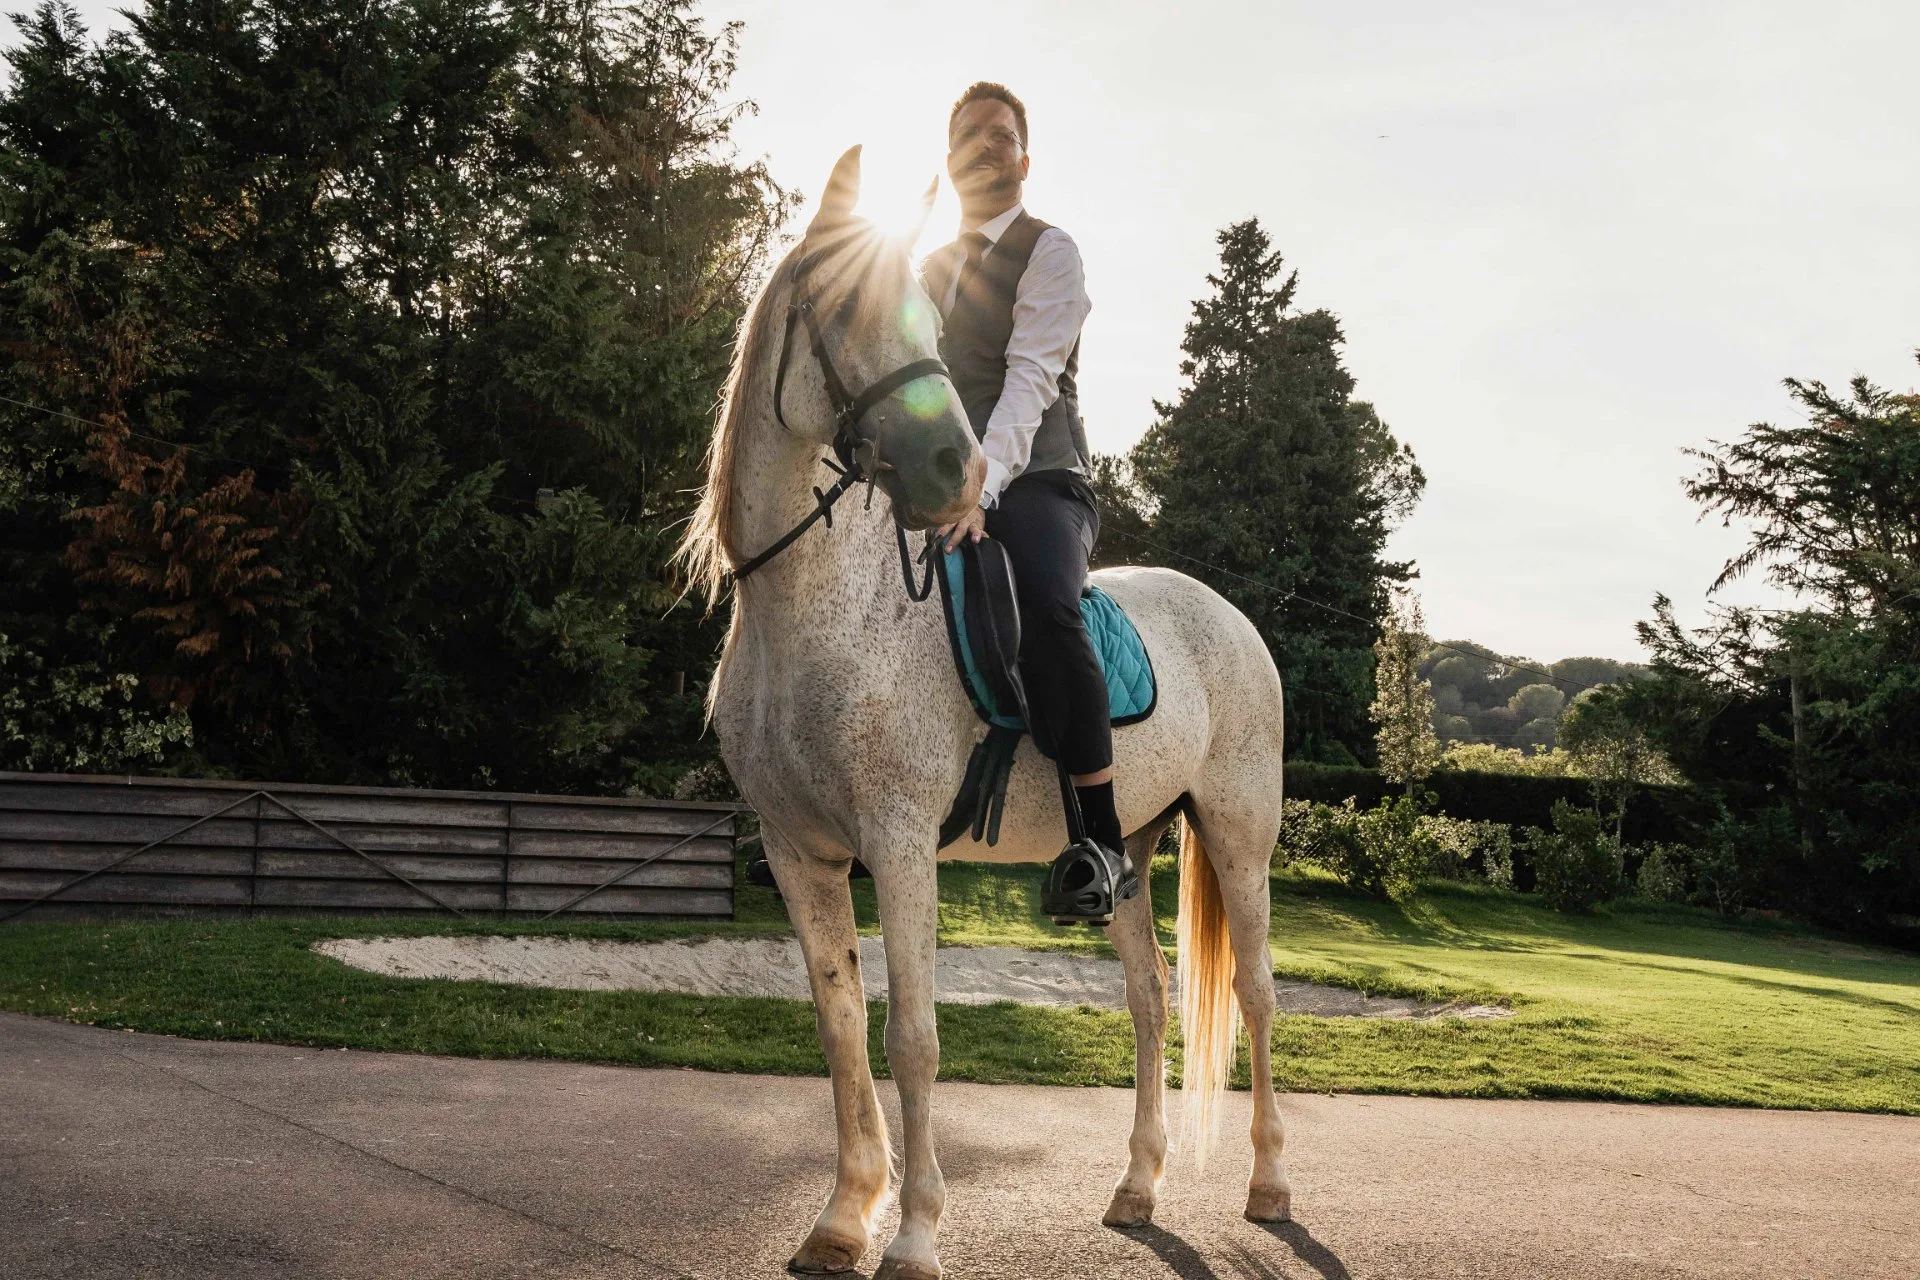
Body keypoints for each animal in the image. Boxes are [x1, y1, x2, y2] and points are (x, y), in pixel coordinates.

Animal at [679, 150, 1290, 1280]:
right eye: (843, 307)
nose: (953, 471)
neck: (814, 604)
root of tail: (1227, 613)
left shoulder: (898, 842)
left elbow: (912, 1035)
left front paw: (914, 1232)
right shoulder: (798, 851)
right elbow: (840, 1027)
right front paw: (843, 1216)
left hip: (1238, 834)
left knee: (1260, 995)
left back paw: (1271, 1181)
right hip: (1132, 841)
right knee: (1149, 1001)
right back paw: (1138, 1185)